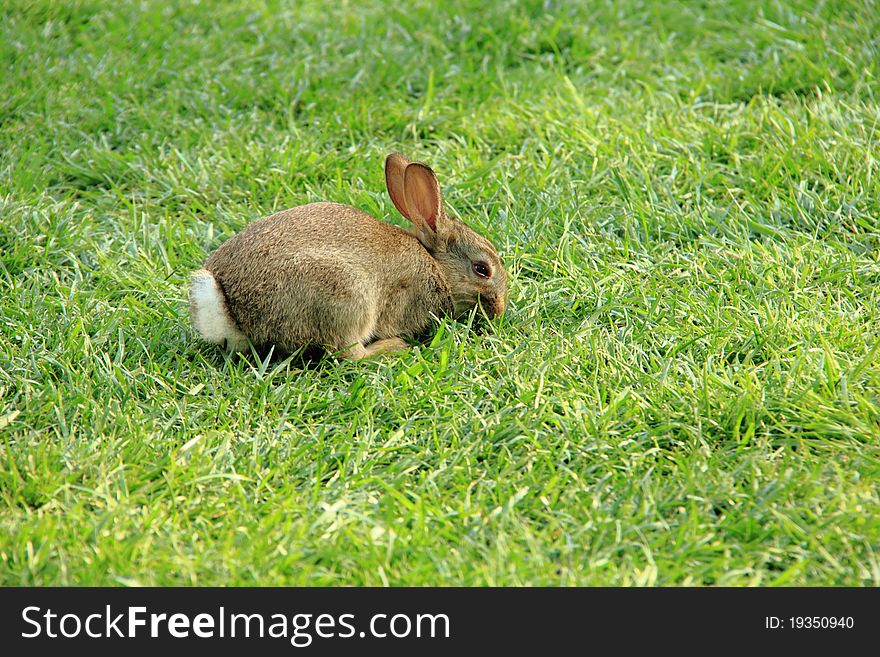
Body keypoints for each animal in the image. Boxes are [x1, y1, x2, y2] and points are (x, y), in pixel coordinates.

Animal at [191, 152, 508, 358]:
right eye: (482, 269)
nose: (500, 308)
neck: (436, 267)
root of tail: (230, 309)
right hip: (348, 295)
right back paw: (394, 347)